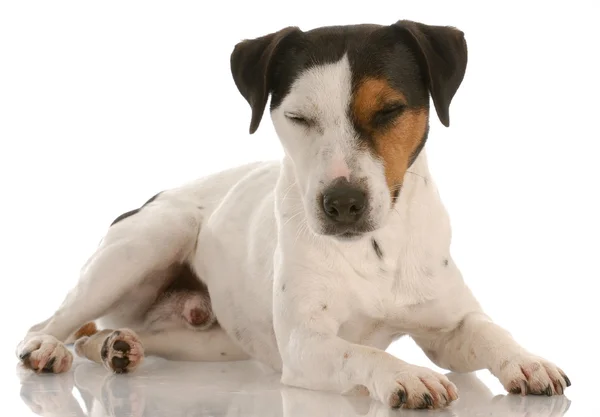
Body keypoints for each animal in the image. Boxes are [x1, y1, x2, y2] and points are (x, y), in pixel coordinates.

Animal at [16, 18, 572, 406]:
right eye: (299, 117)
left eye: (390, 110)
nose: (342, 202)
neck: (375, 250)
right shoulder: (306, 345)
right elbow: (363, 350)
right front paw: (406, 373)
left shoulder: (448, 325)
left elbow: (488, 330)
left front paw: (527, 362)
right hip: (147, 244)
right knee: (54, 321)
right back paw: (48, 348)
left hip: (207, 343)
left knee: (103, 336)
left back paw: (115, 347)